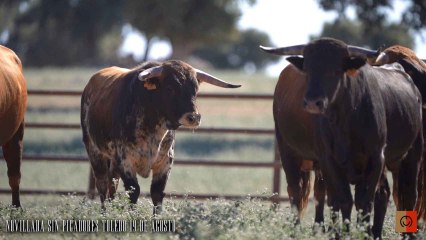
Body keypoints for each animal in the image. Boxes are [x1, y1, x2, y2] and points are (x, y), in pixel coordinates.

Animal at [262, 37, 424, 238]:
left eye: (335, 70)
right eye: (307, 69)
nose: (312, 102)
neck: (346, 120)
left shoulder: (376, 158)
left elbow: (364, 202)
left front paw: (363, 233)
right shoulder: (328, 160)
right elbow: (343, 200)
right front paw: (344, 233)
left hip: (413, 155)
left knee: (407, 195)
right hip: (288, 153)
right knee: (297, 192)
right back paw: (299, 230)